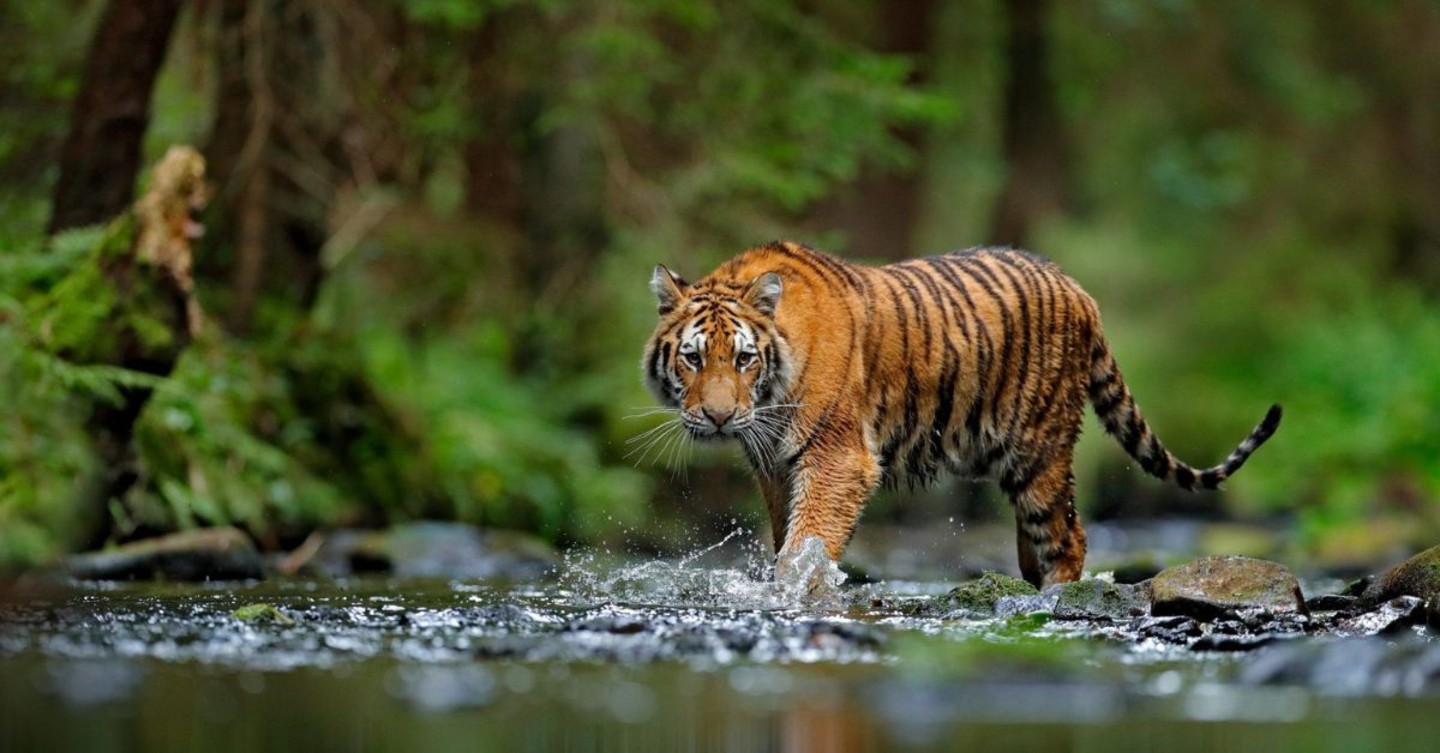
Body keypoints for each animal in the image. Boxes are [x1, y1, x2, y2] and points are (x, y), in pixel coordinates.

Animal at [641, 241, 1281, 588]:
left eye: (744, 358)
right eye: (693, 359)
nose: (719, 418)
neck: (770, 398)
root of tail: (1078, 288)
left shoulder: (837, 458)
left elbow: (808, 543)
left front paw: (796, 592)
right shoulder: (775, 466)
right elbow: (787, 539)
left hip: (1040, 450)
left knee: (1068, 536)